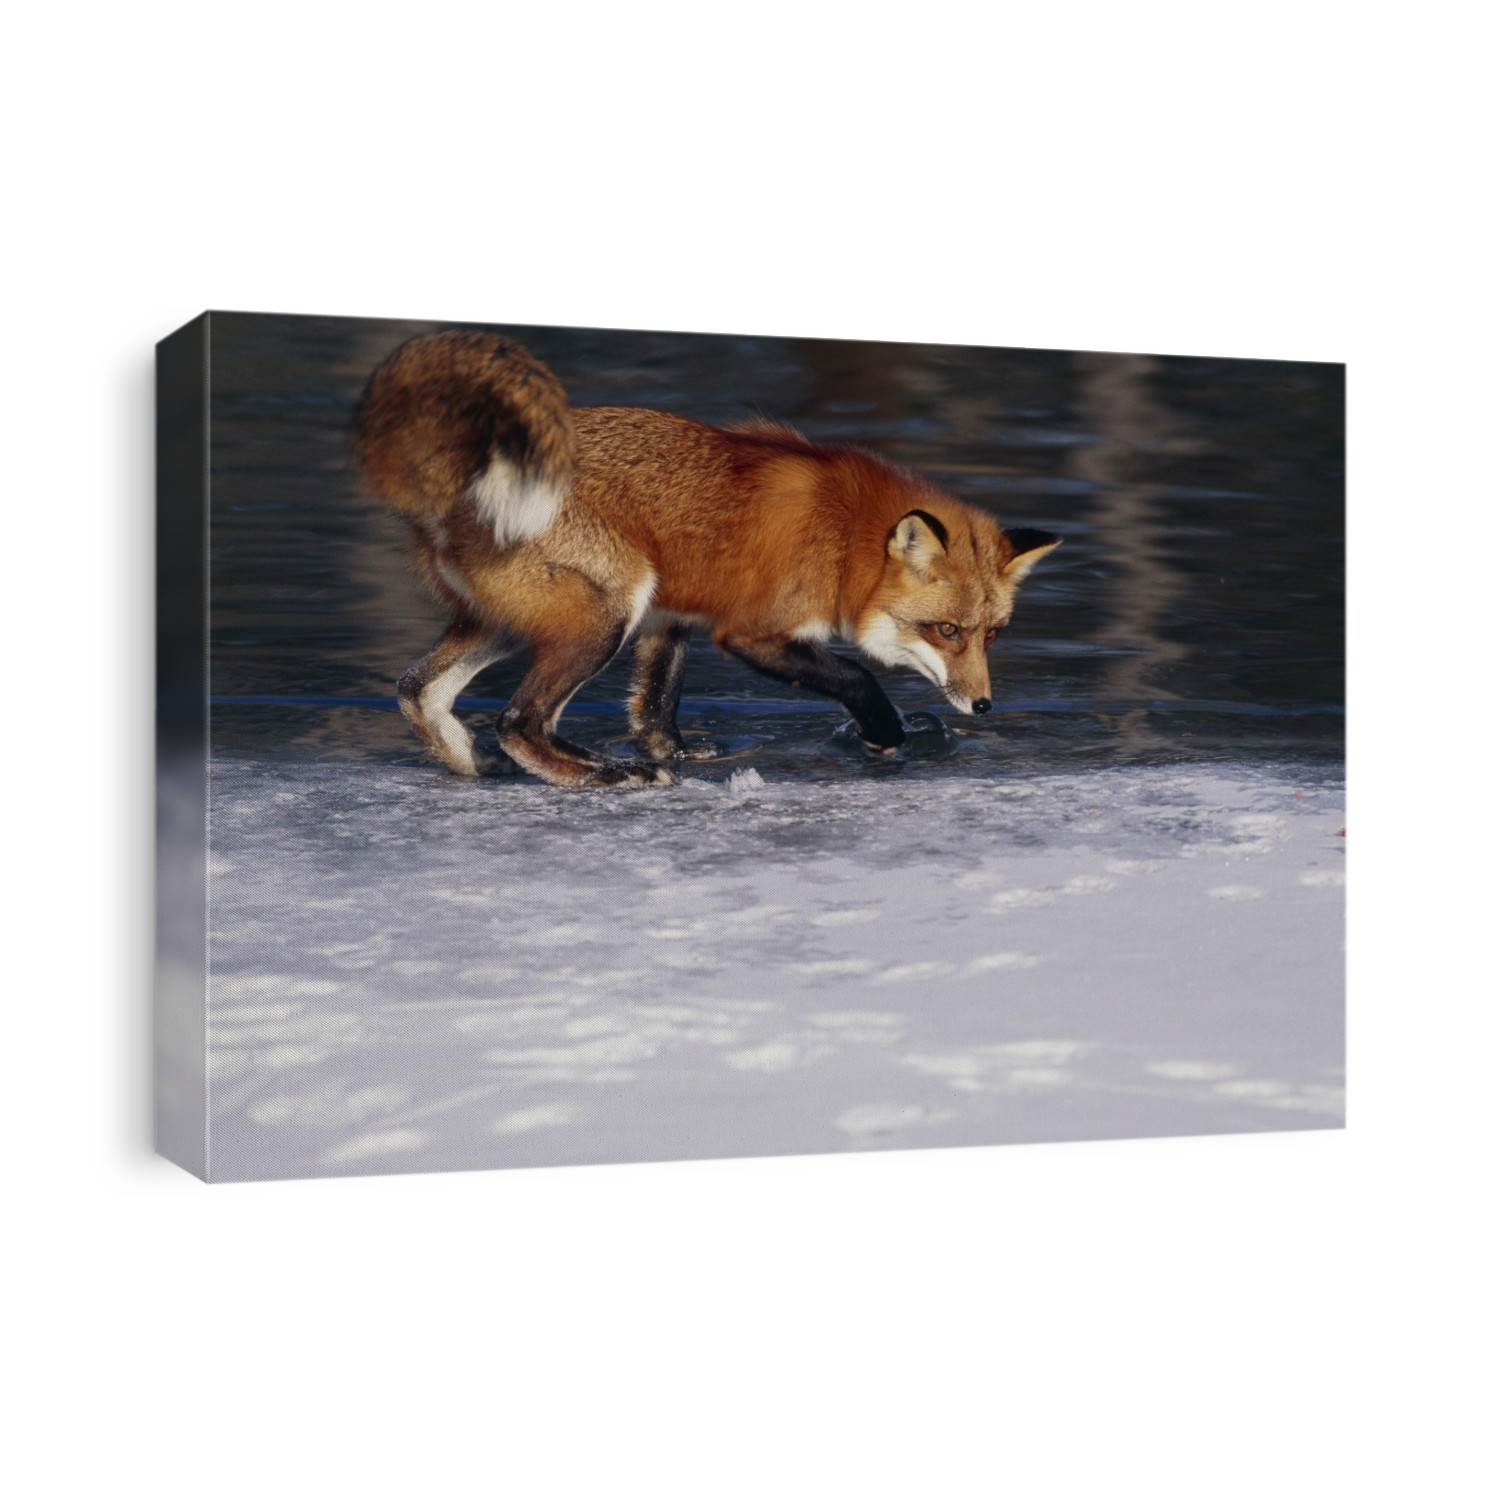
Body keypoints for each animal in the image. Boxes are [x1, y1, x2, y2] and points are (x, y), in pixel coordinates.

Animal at [351, 331, 1061, 789]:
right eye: (946, 631)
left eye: (992, 635)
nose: (984, 707)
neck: (844, 538)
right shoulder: (748, 631)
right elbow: (857, 677)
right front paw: (886, 736)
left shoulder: (672, 617)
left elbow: (656, 709)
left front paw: (681, 758)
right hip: (604, 614)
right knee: (518, 720)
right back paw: (598, 775)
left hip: (520, 620)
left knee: (417, 689)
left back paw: (478, 767)